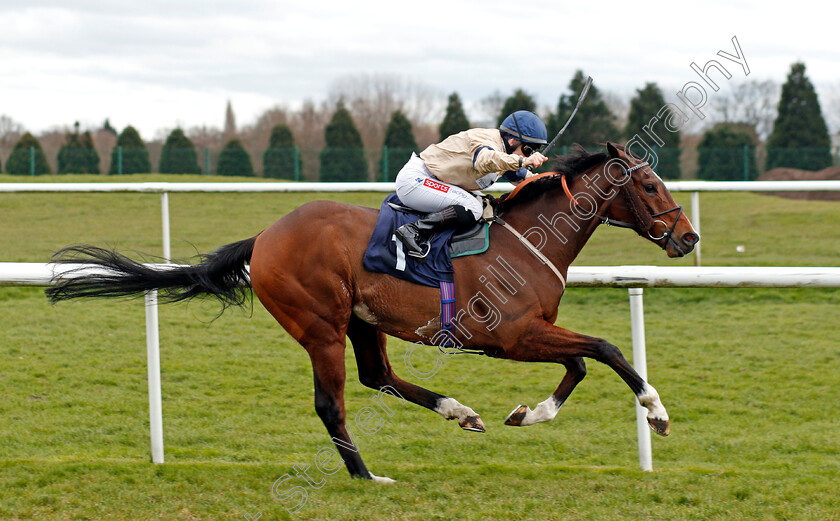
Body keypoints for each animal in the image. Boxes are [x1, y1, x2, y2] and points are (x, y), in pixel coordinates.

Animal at [49, 141, 700, 480]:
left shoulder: (530, 333)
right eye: (649, 186)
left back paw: (460, 412)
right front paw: (657, 412)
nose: (688, 238)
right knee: (331, 402)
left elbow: (584, 363)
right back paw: (364, 474)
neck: (528, 240)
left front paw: (526, 414)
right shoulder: (514, 336)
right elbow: (604, 350)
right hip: (320, 325)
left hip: (361, 323)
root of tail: (265, 237)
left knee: (378, 375)